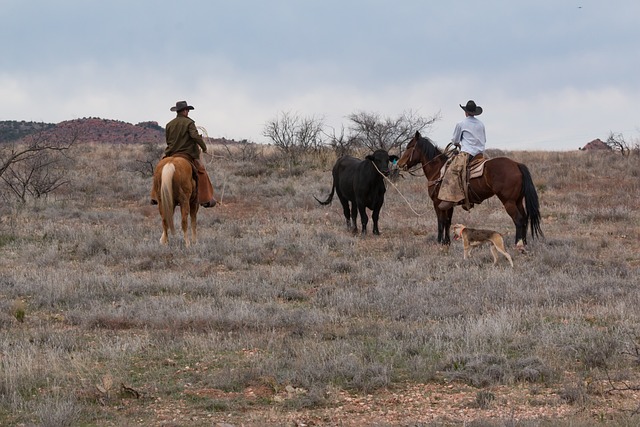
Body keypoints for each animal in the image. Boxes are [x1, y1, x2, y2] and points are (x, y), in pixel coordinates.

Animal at [400, 132, 540, 249]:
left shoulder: (437, 203)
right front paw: (447, 242)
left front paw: (439, 242)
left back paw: (518, 244)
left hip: (508, 201)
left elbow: (440, 222)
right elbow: (447, 222)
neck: (437, 171)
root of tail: (516, 164)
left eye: (408, 147)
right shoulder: (448, 204)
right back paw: (524, 243)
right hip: (518, 200)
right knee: (525, 218)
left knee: (518, 220)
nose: (400, 164)